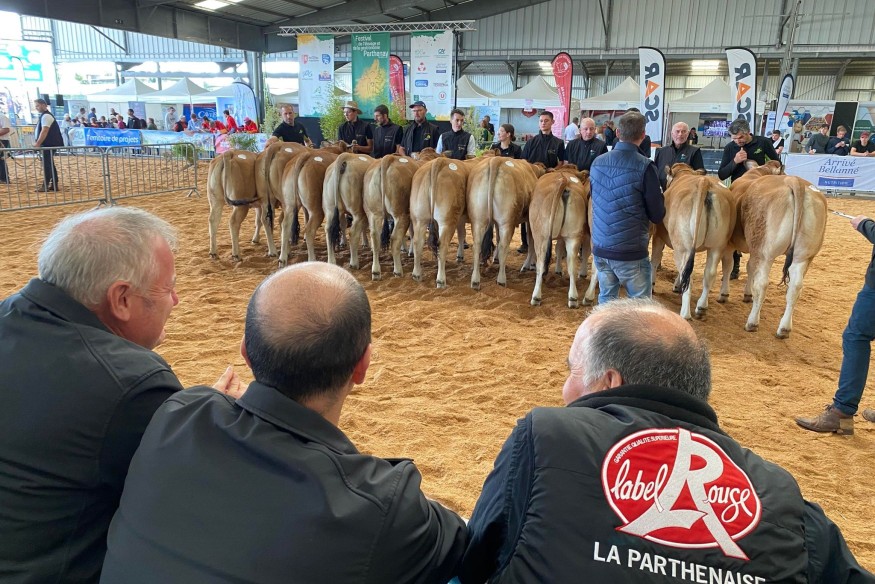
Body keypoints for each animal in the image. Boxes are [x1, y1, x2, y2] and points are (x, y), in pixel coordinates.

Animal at [409, 157, 471, 288]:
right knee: (442, 245)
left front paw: (460, 256)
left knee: (418, 242)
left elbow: (462, 234)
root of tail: (439, 161)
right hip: (447, 221)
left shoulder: (461, 218)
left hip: (419, 219)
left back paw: (417, 274)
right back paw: (441, 280)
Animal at [466, 156, 542, 290]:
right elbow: (531, 241)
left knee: (477, 246)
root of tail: (496, 160)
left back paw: (475, 281)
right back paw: (501, 279)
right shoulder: (529, 220)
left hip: (478, 220)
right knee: (503, 247)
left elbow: (497, 238)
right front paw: (529, 265)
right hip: (506, 222)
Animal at [528, 166, 591, 307]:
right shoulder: (563, 237)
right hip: (573, 236)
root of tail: (563, 180)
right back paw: (573, 298)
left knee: (540, 263)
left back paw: (536, 297)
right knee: (572, 265)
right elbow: (559, 249)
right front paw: (558, 270)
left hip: (541, 236)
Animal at [650, 163, 737, 320]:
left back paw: (685, 313)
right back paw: (701, 307)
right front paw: (677, 285)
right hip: (718, 245)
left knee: (687, 274)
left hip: (682, 247)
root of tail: (704, 182)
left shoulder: (658, 235)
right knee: (709, 273)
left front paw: (653, 284)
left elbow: (655, 259)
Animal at [729, 163, 827, 338]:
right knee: (795, 287)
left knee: (762, 284)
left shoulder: (749, 247)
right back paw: (784, 329)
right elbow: (750, 267)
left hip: (765, 252)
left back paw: (752, 322)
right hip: (804, 255)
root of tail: (796, 182)